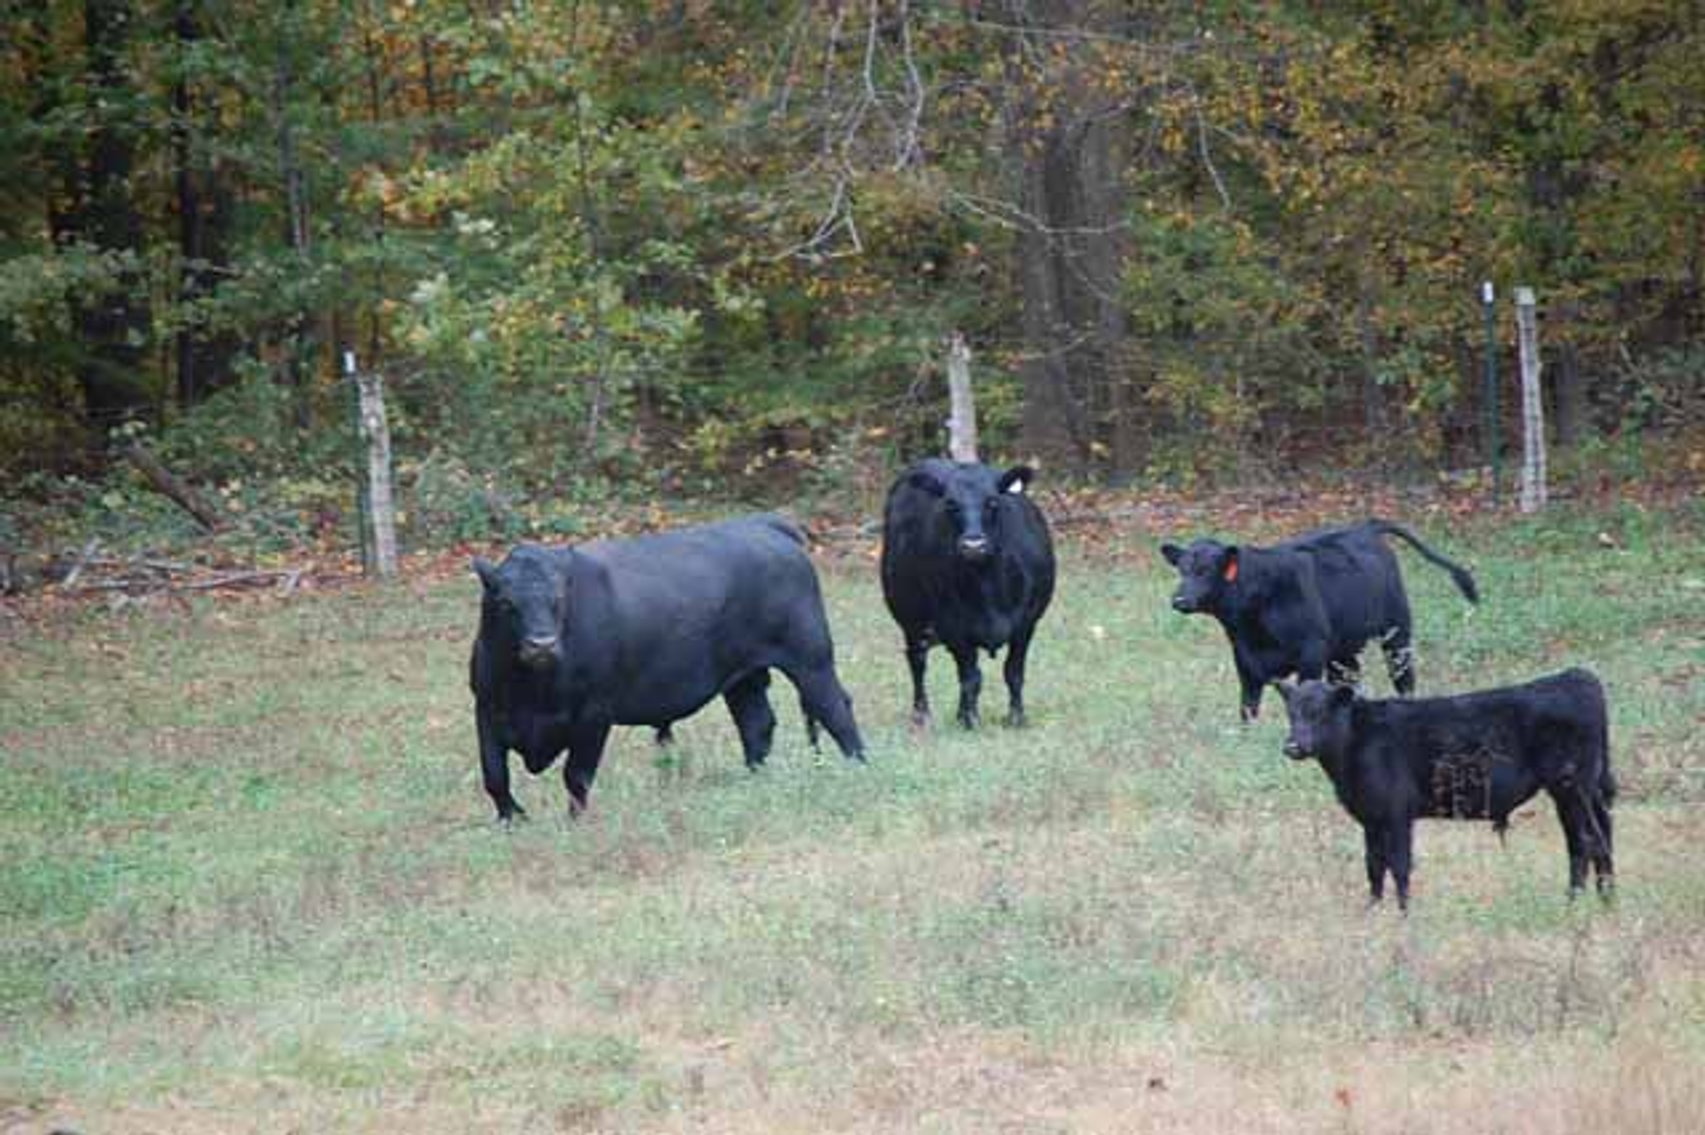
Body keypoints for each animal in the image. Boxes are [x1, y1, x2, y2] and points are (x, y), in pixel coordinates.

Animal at [469, 514, 864, 822]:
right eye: (505, 602)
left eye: (560, 598)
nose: (542, 645)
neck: (532, 691)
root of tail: (764, 524)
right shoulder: (487, 709)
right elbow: (495, 776)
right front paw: (511, 820)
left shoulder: (594, 714)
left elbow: (576, 776)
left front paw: (574, 823)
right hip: (744, 679)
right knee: (757, 724)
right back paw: (754, 780)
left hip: (811, 660)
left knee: (835, 709)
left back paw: (858, 768)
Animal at [880, 458, 1056, 729]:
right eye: (951, 504)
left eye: (992, 501)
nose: (973, 544)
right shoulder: (954, 626)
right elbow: (971, 677)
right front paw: (970, 720)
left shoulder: (1026, 623)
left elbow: (1013, 672)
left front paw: (1017, 717)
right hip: (909, 616)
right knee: (917, 661)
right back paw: (922, 714)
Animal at [1160, 520, 1479, 721]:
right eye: (1182, 569)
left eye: (1206, 570)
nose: (1179, 600)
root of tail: (1366, 526)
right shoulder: (1245, 659)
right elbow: (1248, 709)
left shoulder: (1310, 653)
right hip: (1342, 648)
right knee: (1350, 677)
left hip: (1396, 629)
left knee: (1403, 675)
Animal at [1273, 670, 1616, 909]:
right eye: (1291, 712)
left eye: (1320, 712)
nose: (1293, 746)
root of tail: (1575, 676)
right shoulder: (1372, 818)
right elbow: (1374, 865)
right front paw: (1372, 910)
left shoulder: (1397, 813)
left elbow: (1399, 865)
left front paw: (1404, 915)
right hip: (1584, 792)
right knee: (1597, 838)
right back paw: (1606, 900)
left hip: (1571, 788)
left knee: (1586, 842)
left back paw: (1574, 904)